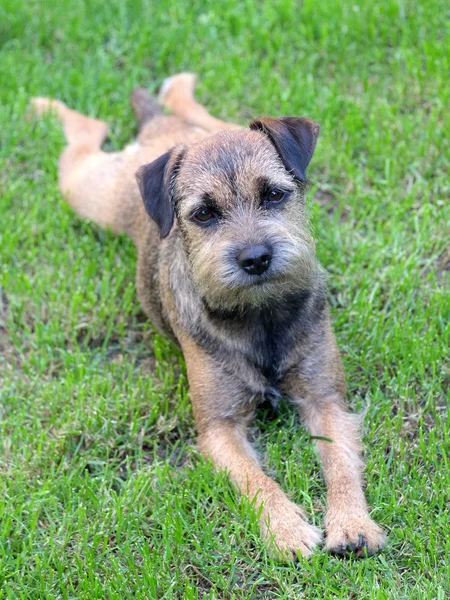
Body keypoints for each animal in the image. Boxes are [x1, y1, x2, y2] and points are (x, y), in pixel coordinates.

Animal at [30, 72, 386, 560]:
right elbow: (256, 480)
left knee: (178, 111)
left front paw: (352, 523)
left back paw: (177, 87)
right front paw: (287, 531)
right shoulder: (219, 428)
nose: (255, 257)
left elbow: (340, 461)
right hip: (88, 191)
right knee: (86, 135)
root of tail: (161, 134)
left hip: (201, 129)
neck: (260, 316)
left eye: (273, 194)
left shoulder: (326, 399)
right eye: (204, 213)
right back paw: (47, 106)